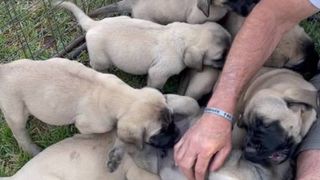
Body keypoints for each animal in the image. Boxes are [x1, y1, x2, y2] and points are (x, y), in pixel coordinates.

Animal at [0, 58, 171, 156]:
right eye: (159, 132)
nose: (174, 133)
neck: (121, 96)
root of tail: (4, 70)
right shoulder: (87, 126)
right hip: (15, 112)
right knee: (20, 134)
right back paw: (33, 150)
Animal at [55, 1, 230, 88]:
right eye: (219, 57)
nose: (228, 65)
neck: (185, 36)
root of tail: (94, 24)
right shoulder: (157, 74)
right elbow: (155, 87)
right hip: (100, 60)